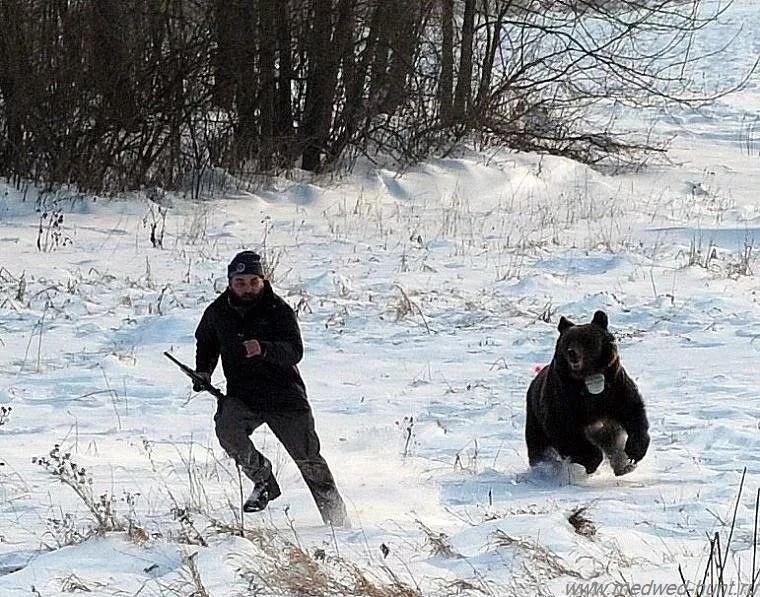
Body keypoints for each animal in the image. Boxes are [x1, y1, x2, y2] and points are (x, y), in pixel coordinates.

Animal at [524, 312, 652, 474]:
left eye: (586, 339)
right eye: (567, 341)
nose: (572, 353)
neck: (589, 378)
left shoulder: (616, 390)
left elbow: (634, 415)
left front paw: (633, 454)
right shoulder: (565, 401)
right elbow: (567, 432)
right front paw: (590, 462)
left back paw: (622, 464)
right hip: (535, 421)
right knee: (539, 448)